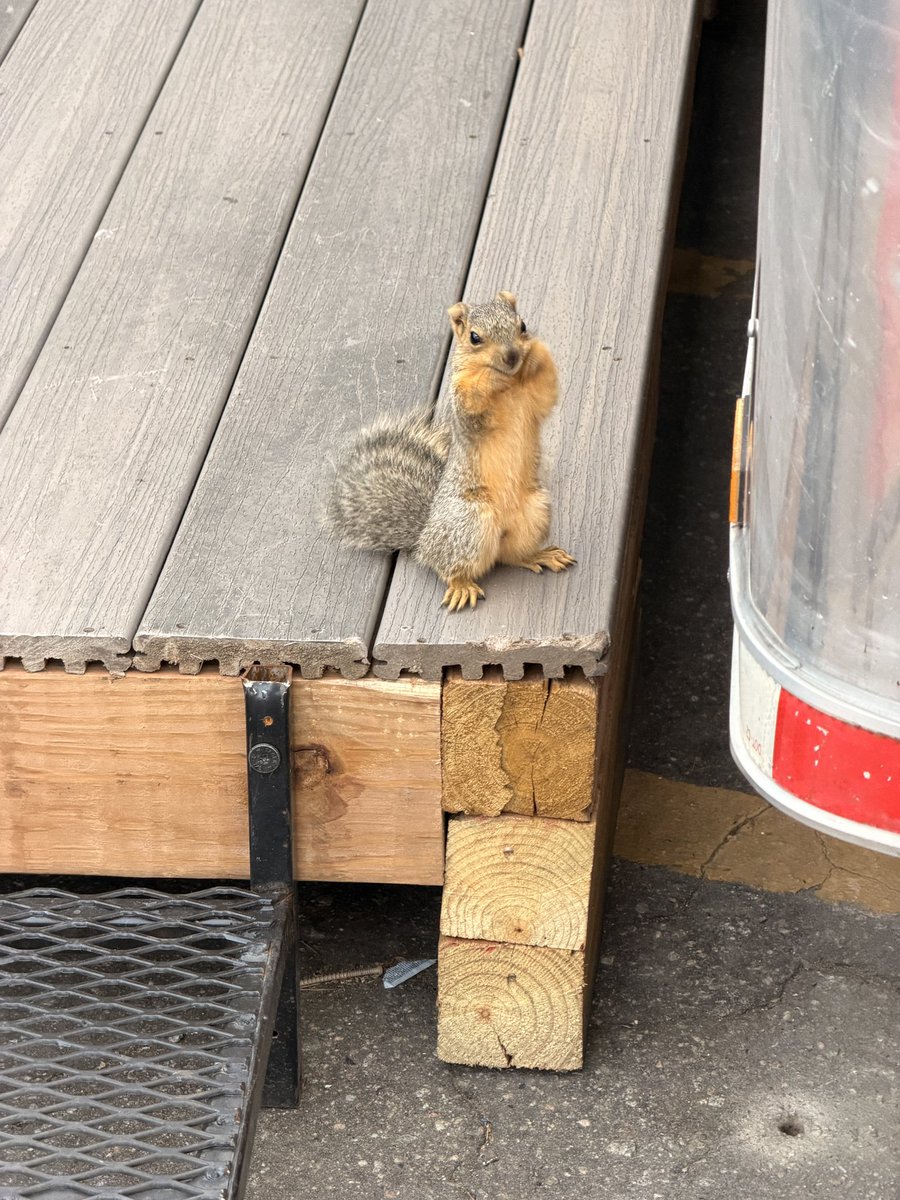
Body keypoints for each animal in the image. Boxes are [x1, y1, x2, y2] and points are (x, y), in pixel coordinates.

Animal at [326, 291, 575, 610]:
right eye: (474, 337)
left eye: (522, 325)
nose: (511, 356)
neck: (510, 385)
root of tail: (424, 536)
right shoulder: (465, 409)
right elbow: (474, 401)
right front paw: (487, 377)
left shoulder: (535, 400)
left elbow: (547, 389)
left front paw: (535, 351)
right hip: (469, 521)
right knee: (450, 566)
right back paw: (461, 585)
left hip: (534, 511)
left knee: (509, 556)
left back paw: (538, 554)